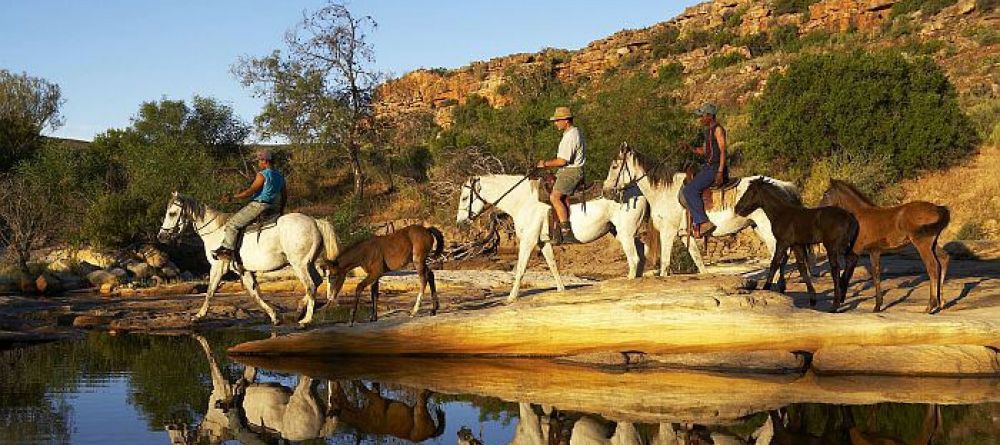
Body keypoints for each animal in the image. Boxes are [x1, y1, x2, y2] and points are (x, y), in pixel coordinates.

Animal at [156, 192, 340, 326]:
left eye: (172, 213)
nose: (161, 236)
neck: (216, 231)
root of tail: (315, 222)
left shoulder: (218, 266)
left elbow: (210, 291)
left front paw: (198, 316)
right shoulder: (244, 270)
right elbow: (255, 294)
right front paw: (274, 316)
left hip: (299, 264)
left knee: (310, 285)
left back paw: (306, 319)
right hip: (309, 263)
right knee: (317, 281)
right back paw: (299, 310)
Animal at [456, 173, 648, 302]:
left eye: (465, 197)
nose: (460, 222)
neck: (524, 201)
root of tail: (638, 192)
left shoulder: (528, 241)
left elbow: (520, 268)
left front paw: (511, 297)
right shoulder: (543, 242)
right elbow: (553, 265)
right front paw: (561, 290)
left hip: (625, 233)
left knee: (634, 259)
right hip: (620, 232)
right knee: (641, 253)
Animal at [600, 144, 804, 276]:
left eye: (614, 166)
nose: (606, 191)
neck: (664, 192)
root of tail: (783, 186)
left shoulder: (668, 232)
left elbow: (665, 264)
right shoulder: (684, 235)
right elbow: (698, 261)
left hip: (768, 229)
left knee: (779, 255)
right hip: (758, 228)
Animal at [736, 179, 860, 310]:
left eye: (750, 191)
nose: (737, 208)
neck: (782, 213)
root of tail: (851, 217)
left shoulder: (782, 242)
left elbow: (775, 263)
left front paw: (766, 289)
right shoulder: (797, 245)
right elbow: (802, 268)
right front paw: (812, 299)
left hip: (833, 246)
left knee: (836, 268)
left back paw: (835, 305)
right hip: (846, 245)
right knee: (852, 259)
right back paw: (842, 296)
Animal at [820, 180, 952, 312]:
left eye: (826, 194)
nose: (819, 209)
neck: (860, 216)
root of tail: (939, 209)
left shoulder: (856, 251)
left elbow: (847, 275)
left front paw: (836, 304)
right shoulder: (875, 251)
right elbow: (876, 274)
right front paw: (877, 305)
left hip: (922, 244)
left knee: (932, 266)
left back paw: (930, 306)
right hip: (932, 244)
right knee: (944, 259)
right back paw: (941, 302)